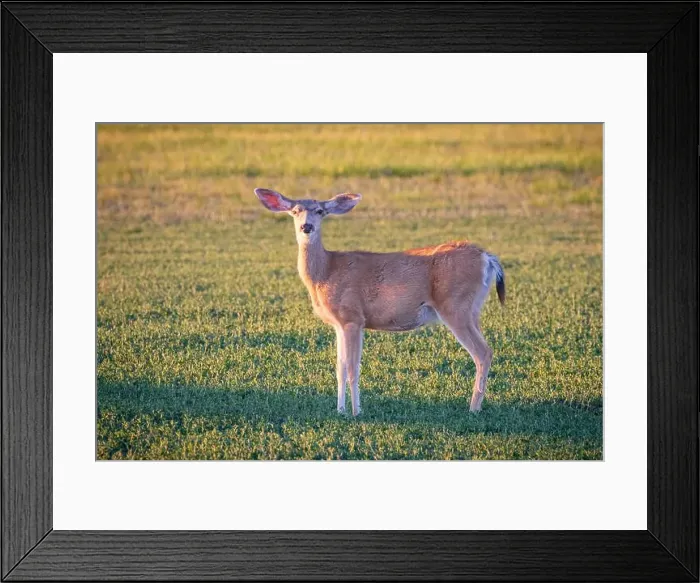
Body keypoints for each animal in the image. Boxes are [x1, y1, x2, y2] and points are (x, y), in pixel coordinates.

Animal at [254, 188, 506, 417]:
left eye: (320, 211)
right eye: (295, 211)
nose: (307, 227)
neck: (325, 272)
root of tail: (487, 257)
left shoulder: (353, 317)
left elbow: (353, 368)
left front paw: (356, 412)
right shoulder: (339, 324)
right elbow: (340, 368)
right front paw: (340, 410)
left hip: (455, 306)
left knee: (483, 353)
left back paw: (473, 408)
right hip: (473, 309)